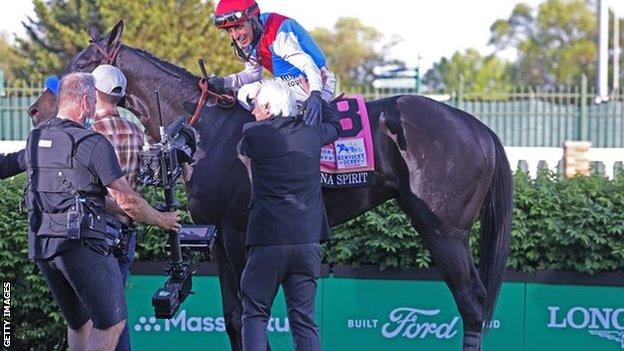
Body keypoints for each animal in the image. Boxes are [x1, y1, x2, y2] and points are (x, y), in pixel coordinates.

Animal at [29, 20, 512, 350]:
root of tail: (478, 126)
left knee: (472, 301)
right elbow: (232, 316)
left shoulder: (239, 232)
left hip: (444, 231)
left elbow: (248, 311)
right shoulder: (217, 236)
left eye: (84, 63)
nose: (36, 109)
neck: (208, 128)